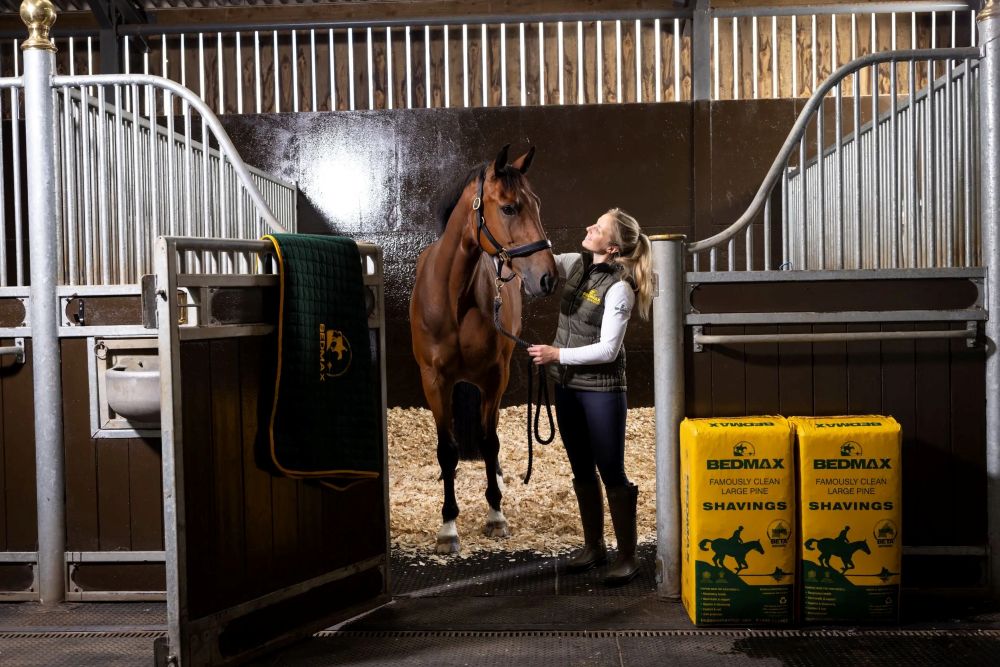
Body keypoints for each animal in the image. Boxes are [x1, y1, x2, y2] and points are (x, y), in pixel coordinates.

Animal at [409, 145, 558, 554]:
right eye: (508, 207)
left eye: (537, 204)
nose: (548, 277)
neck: (454, 298)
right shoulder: (433, 381)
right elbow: (447, 449)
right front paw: (448, 527)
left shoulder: (495, 377)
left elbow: (490, 442)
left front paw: (495, 515)